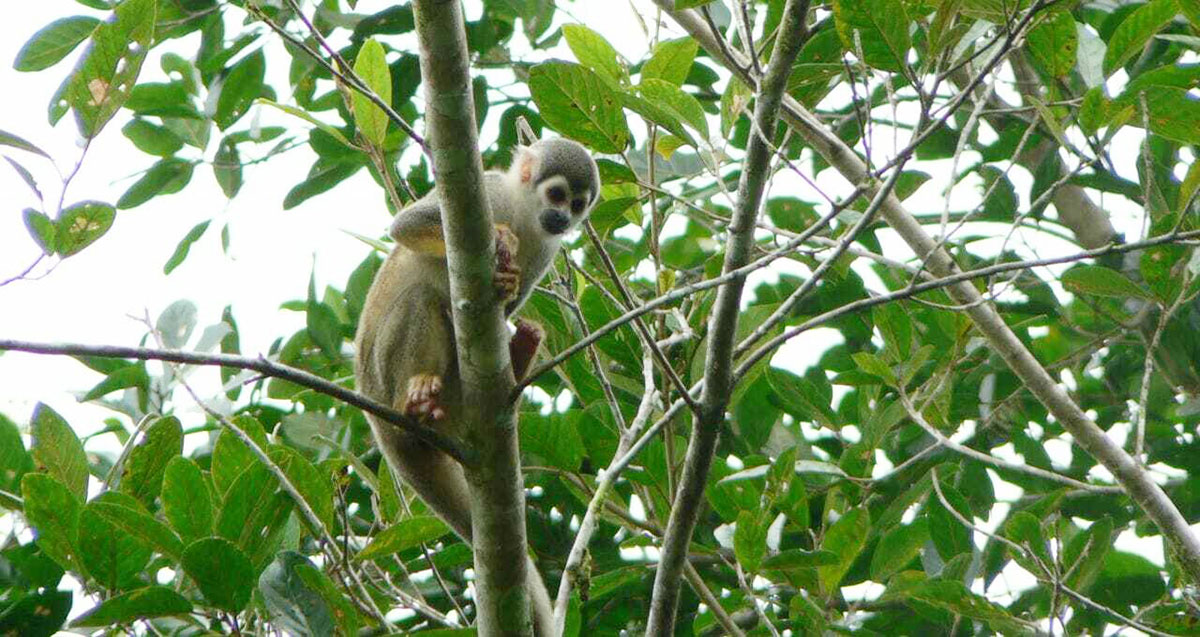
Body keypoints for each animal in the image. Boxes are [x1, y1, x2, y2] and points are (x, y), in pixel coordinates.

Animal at [354, 138, 599, 634]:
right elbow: (407, 226)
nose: (562, 219)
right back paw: (415, 396)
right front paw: (501, 239)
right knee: (423, 298)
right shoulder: (486, 192)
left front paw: (509, 285)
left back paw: (519, 356)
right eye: (558, 195)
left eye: (579, 205)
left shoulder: (546, 250)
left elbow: (512, 300)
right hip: (381, 374)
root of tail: (378, 422)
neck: (526, 212)